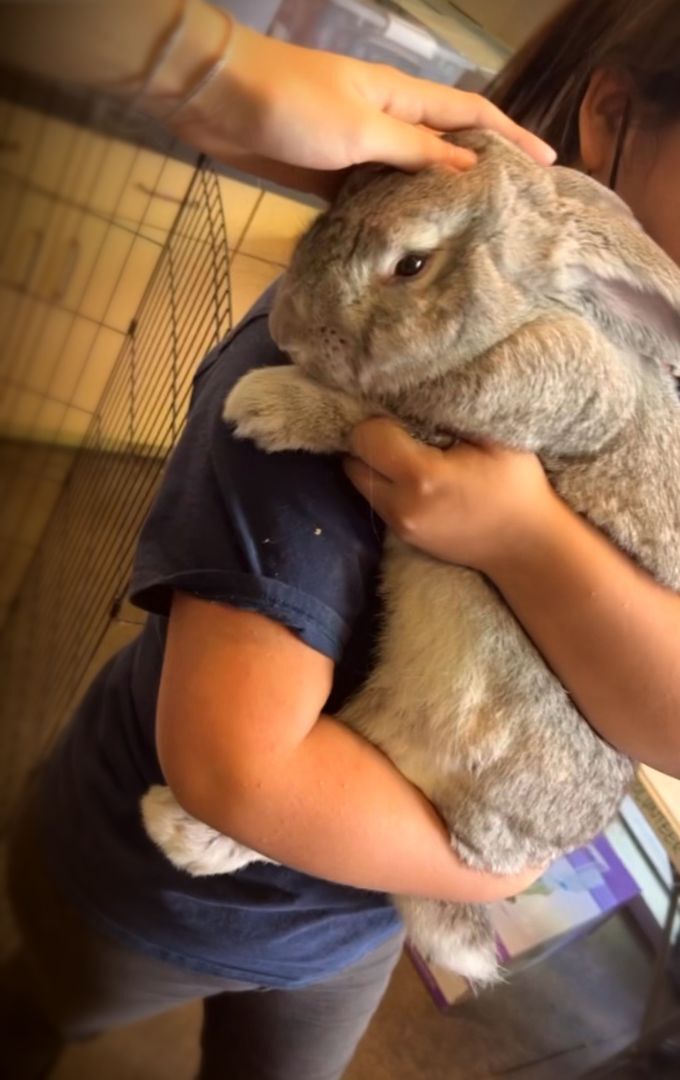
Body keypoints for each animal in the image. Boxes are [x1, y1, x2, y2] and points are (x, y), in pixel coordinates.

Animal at [142, 128, 680, 989]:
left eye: (413, 265)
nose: (287, 329)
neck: (526, 311)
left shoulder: (512, 401)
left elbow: (377, 408)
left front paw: (264, 404)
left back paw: (177, 829)